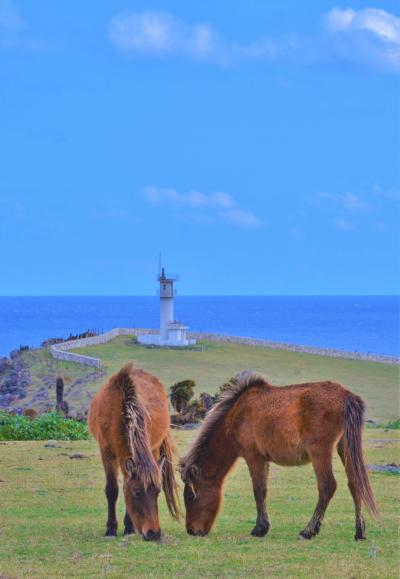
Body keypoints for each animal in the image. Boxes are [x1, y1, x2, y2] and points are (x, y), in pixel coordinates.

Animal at [89, 364, 181, 540]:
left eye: (158, 492)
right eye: (137, 493)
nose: (153, 533)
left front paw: (129, 527)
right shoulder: (106, 452)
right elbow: (112, 489)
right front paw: (111, 529)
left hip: (154, 449)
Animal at [181, 374, 378, 540]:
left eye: (191, 496)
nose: (191, 531)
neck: (237, 414)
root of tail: (347, 396)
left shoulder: (253, 457)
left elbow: (258, 491)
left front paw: (259, 529)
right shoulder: (264, 460)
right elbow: (263, 491)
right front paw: (264, 526)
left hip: (320, 453)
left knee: (327, 486)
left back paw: (308, 531)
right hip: (345, 448)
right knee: (355, 484)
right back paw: (359, 532)